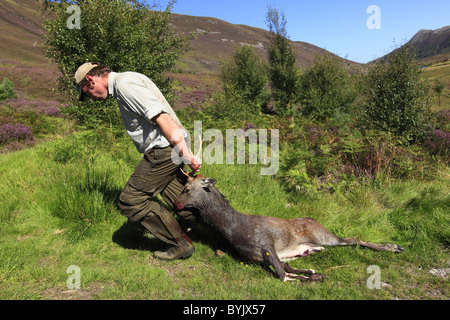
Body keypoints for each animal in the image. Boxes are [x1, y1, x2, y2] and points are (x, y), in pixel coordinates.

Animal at [173, 172, 404, 280]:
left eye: (186, 189)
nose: (175, 203)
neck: (231, 229)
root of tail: (315, 220)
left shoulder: (266, 243)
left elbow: (282, 274)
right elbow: (284, 269)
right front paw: (313, 275)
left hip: (324, 235)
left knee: (352, 239)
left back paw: (394, 246)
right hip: (314, 245)